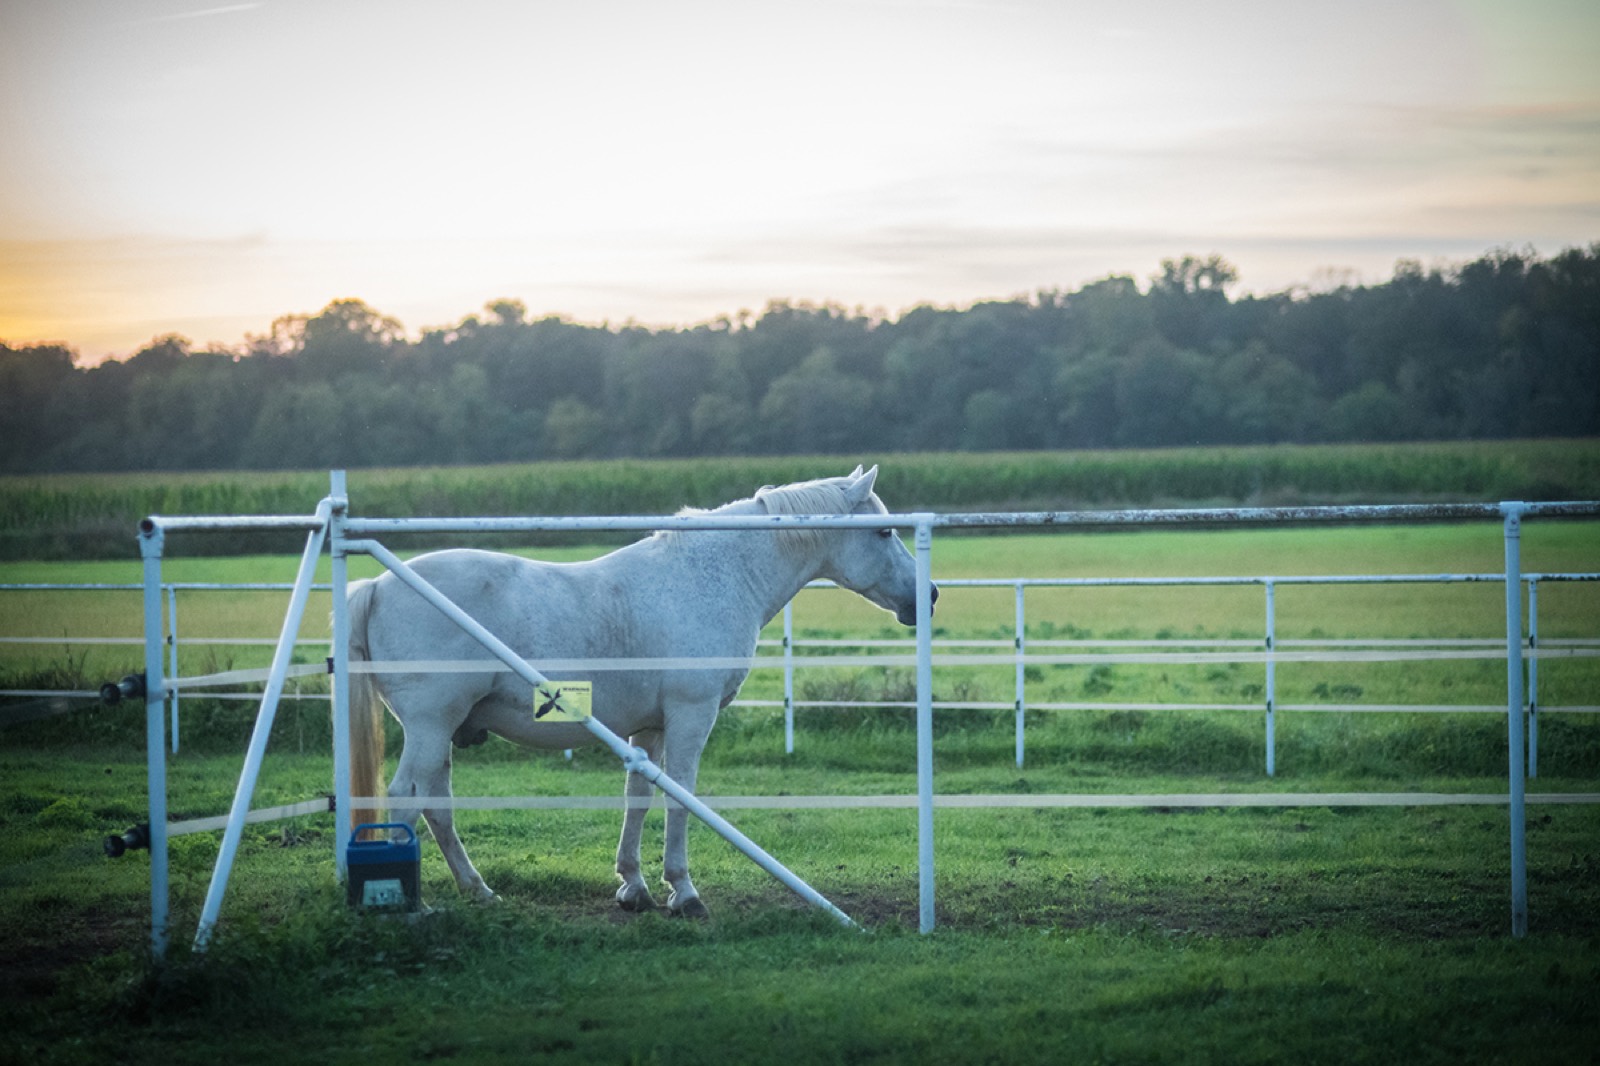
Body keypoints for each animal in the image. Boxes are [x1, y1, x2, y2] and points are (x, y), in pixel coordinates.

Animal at [346, 465, 936, 917]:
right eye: (884, 533)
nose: (927, 594)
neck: (717, 576)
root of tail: (378, 584)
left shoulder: (649, 728)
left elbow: (640, 796)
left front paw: (634, 886)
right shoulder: (691, 716)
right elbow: (680, 796)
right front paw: (685, 892)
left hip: (439, 733)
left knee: (437, 806)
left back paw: (477, 889)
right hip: (430, 726)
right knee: (406, 797)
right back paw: (410, 904)